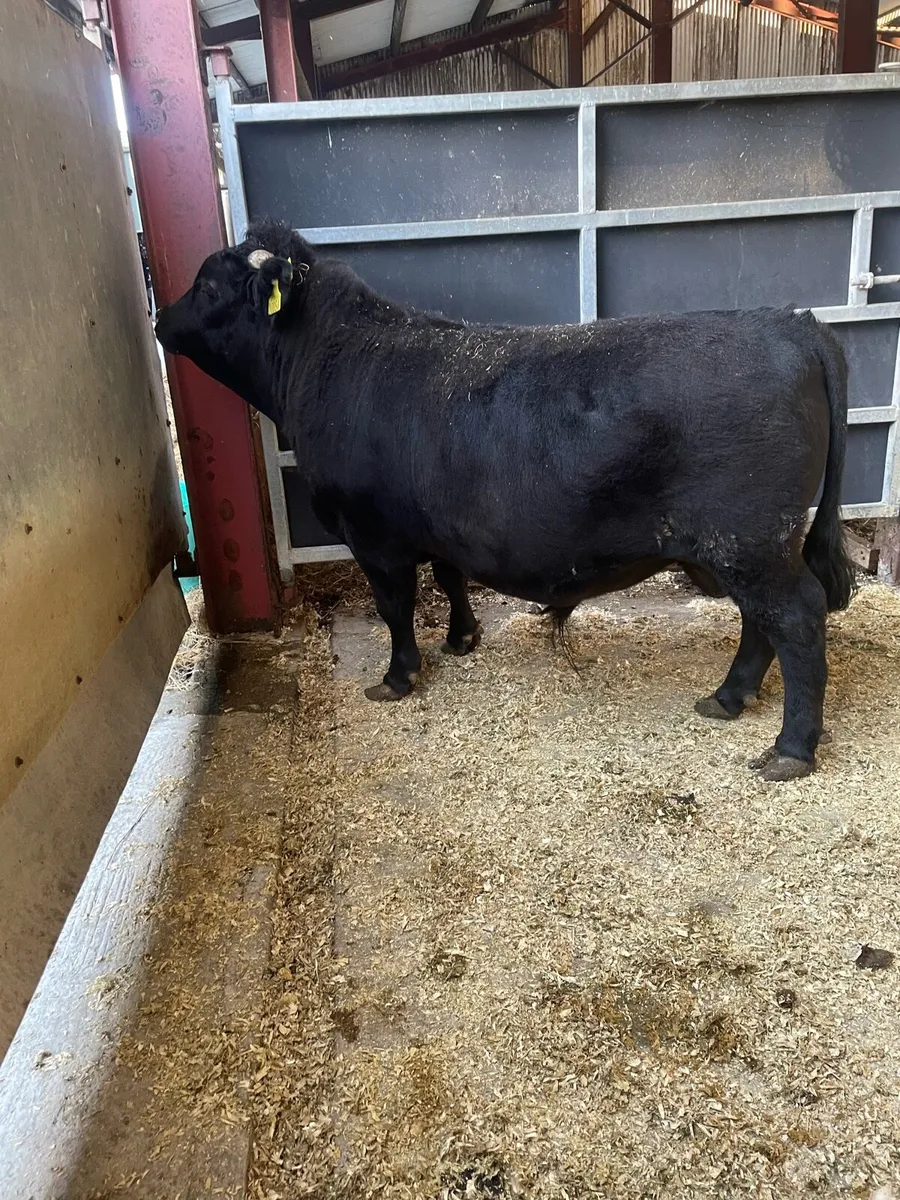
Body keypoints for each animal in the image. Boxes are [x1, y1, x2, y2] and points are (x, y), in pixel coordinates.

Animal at [155, 219, 856, 782]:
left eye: (209, 287)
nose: (161, 317)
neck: (332, 359)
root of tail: (789, 322)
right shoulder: (437, 527)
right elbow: (449, 575)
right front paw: (462, 638)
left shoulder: (372, 535)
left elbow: (396, 607)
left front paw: (397, 677)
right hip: (749, 546)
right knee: (762, 622)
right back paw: (728, 698)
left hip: (750, 541)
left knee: (795, 617)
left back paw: (790, 749)